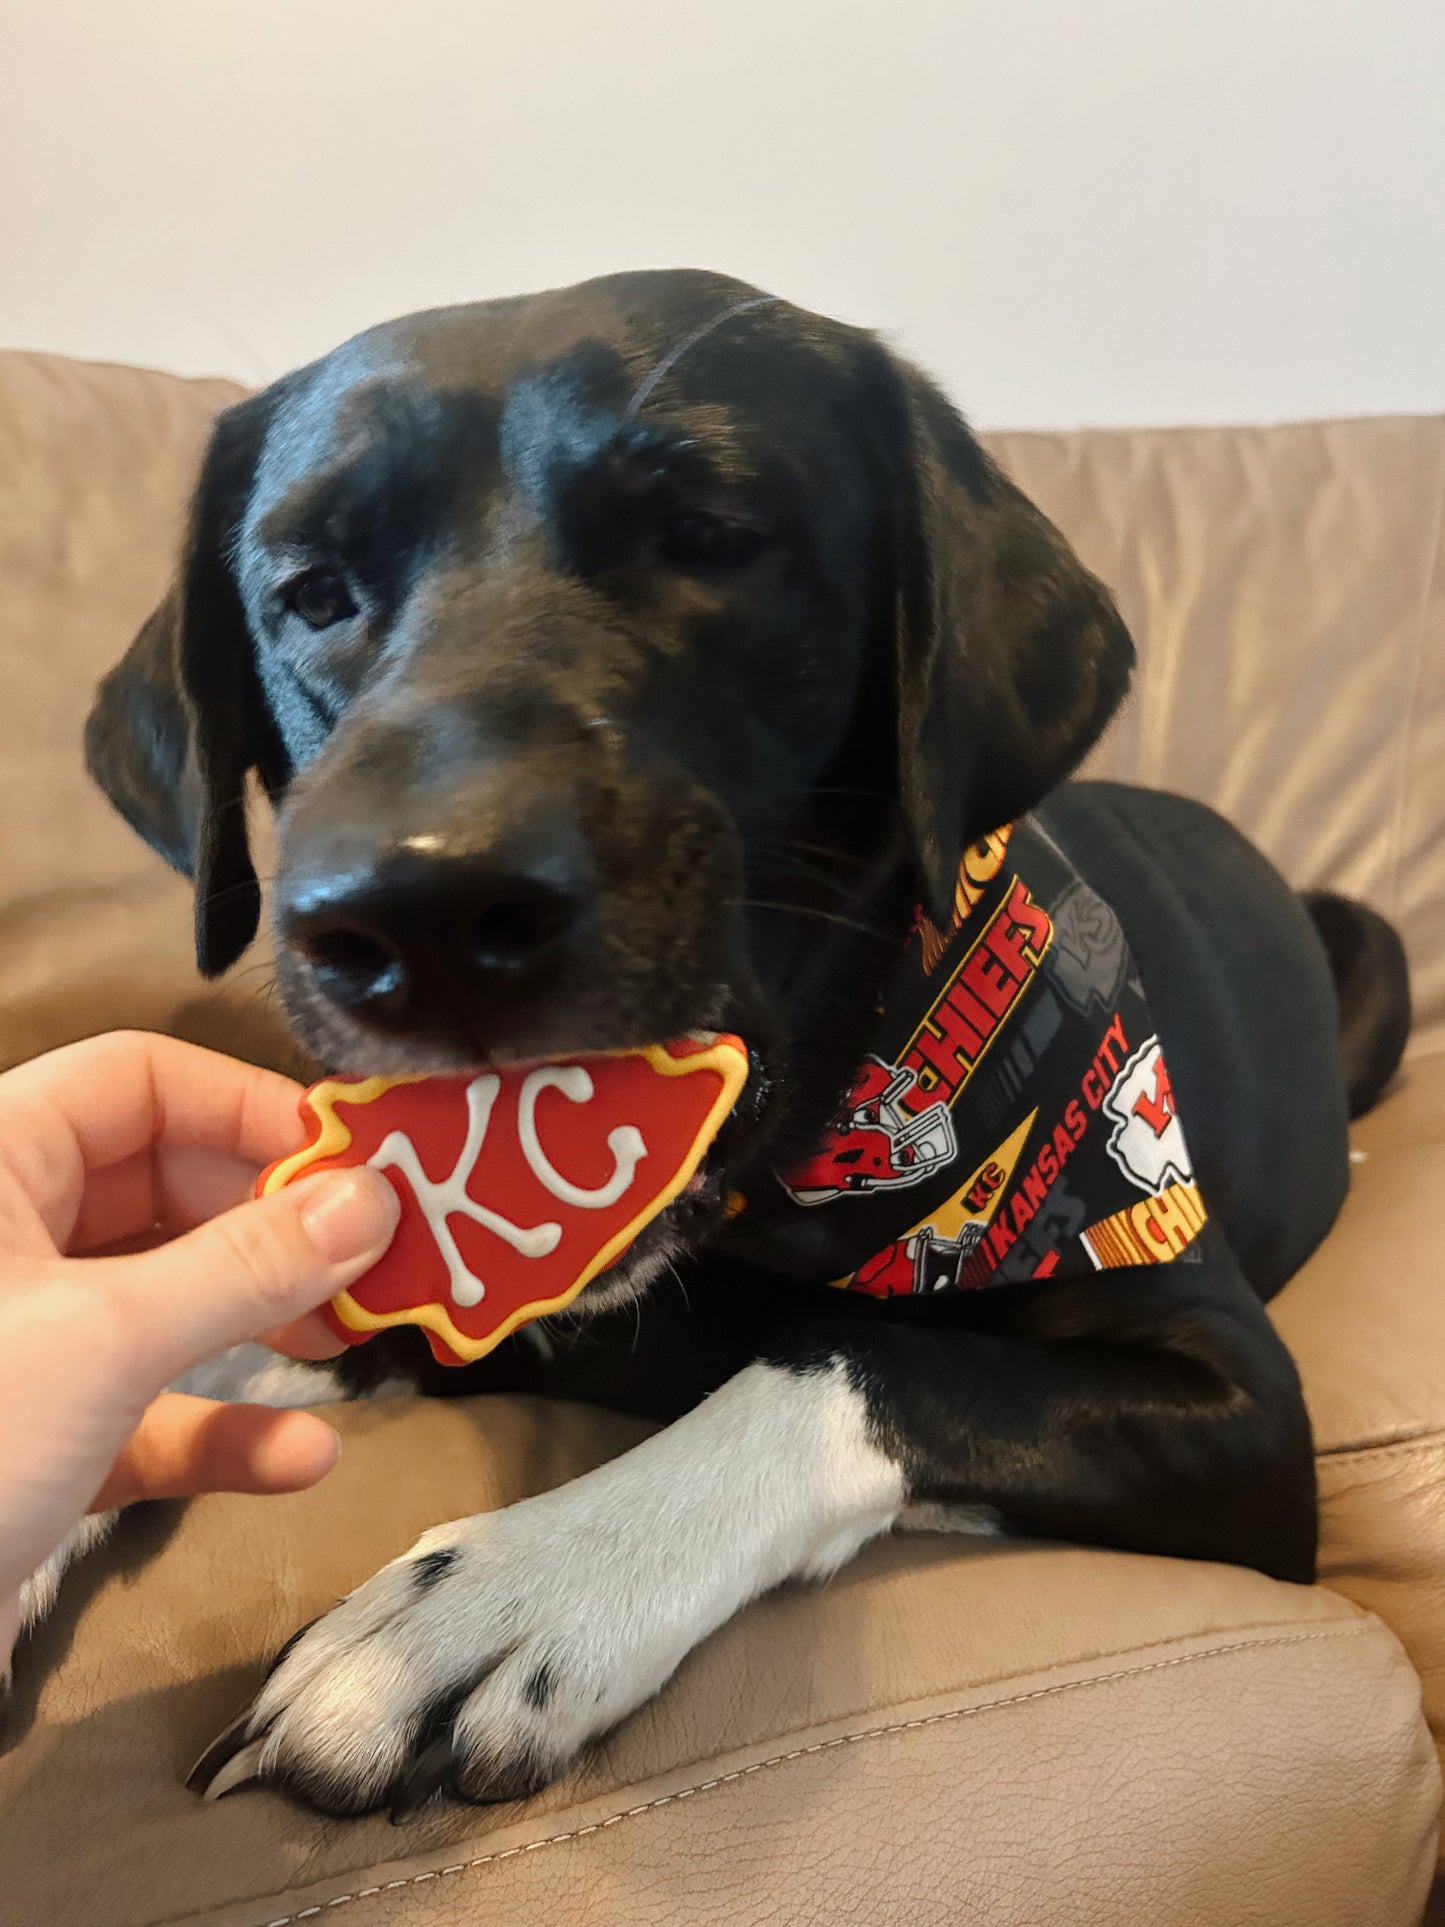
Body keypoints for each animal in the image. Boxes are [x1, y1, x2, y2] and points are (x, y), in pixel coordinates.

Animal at [81, 275, 1418, 1819]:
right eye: (310, 594)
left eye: (710, 538)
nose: (413, 915)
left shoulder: (1240, 1404)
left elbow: (855, 1355)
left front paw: (513, 1587)